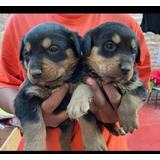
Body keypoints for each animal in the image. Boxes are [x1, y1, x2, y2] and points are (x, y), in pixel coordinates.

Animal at [13, 22, 82, 150]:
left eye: (53, 48)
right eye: (27, 54)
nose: (34, 73)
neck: (52, 85)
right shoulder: (25, 98)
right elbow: (35, 125)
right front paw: (35, 147)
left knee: (64, 137)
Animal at [67, 21, 147, 151]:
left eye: (134, 51)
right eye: (109, 45)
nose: (126, 69)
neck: (105, 79)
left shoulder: (138, 85)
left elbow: (131, 97)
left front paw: (129, 121)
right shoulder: (84, 79)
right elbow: (86, 121)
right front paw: (94, 144)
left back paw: (116, 129)